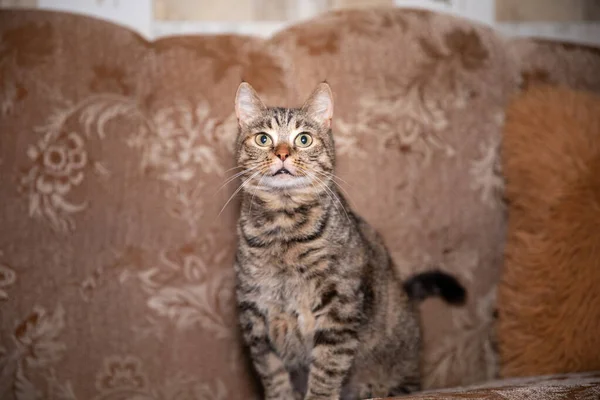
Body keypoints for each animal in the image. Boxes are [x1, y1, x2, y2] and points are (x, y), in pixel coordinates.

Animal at [232, 82, 466, 400]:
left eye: (303, 139)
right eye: (263, 138)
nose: (282, 154)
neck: (284, 229)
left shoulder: (339, 306)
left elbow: (327, 367)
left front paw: (318, 394)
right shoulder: (254, 315)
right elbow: (274, 375)